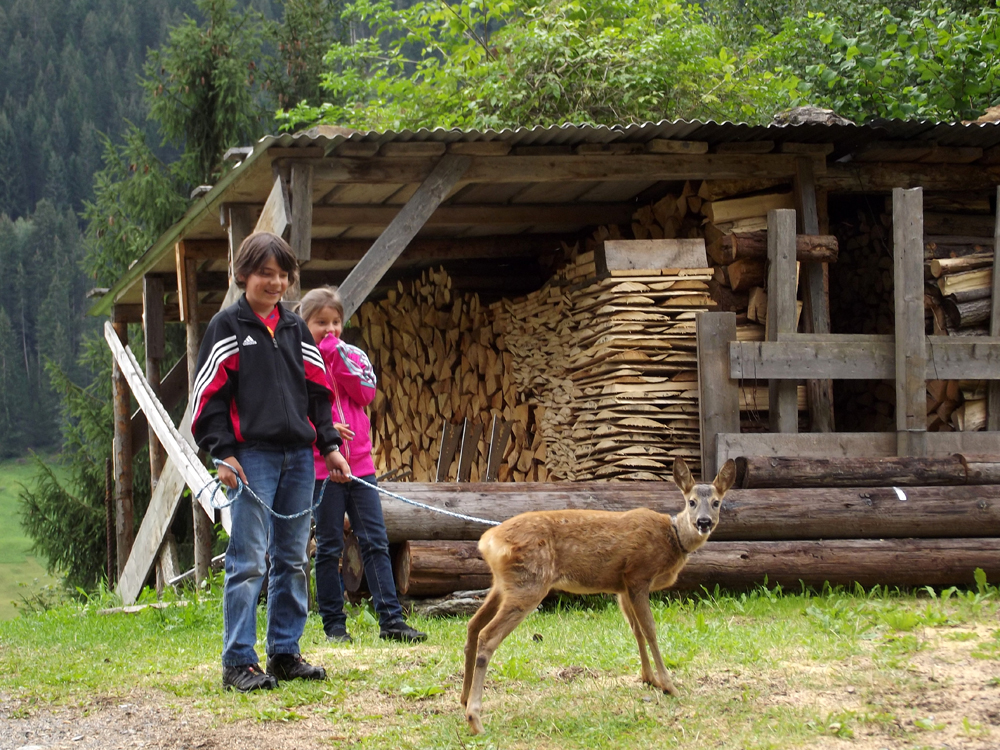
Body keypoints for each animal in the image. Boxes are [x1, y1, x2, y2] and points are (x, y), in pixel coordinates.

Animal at [460, 456, 736, 736]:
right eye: (691, 501)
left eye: (716, 502)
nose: (704, 522)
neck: (673, 539)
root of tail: (487, 541)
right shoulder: (638, 575)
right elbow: (650, 630)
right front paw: (668, 685)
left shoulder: (622, 587)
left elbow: (636, 630)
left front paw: (649, 679)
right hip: (529, 583)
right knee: (487, 636)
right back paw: (475, 719)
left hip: (503, 585)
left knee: (473, 626)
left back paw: (463, 698)